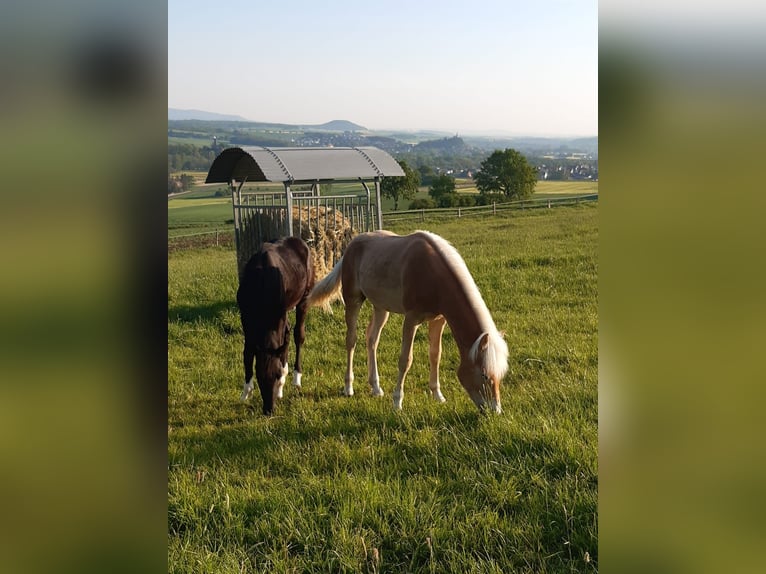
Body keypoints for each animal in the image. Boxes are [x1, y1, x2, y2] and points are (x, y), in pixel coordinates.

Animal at [237, 236, 316, 416]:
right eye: (259, 377)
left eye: (277, 375)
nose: (269, 410)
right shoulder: (245, 316)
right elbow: (248, 351)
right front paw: (246, 390)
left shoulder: (280, 315)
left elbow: (284, 341)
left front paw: (282, 383)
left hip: (305, 297)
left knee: (298, 335)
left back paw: (296, 377)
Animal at [306, 230, 510, 414]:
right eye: (484, 375)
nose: (495, 411)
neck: (434, 275)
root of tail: (351, 245)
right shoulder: (411, 319)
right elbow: (405, 360)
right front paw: (397, 403)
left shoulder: (438, 320)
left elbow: (435, 355)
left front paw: (437, 395)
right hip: (353, 300)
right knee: (351, 340)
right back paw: (348, 387)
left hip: (381, 308)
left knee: (372, 339)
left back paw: (376, 387)